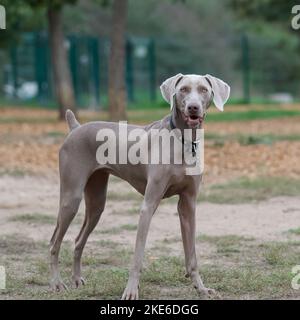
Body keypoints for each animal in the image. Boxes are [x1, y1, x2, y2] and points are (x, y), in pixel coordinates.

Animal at [49, 74, 230, 298]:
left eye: (204, 90)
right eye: (183, 89)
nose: (193, 107)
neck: (183, 140)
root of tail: (75, 128)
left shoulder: (188, 205)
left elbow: (192, 255)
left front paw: (201, 288)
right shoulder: (148, 205)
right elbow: (138, 256)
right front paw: (131, 291)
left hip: (97, 201)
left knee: (78, 240)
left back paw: (76, 279)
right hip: (71, 198)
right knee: (54, 242)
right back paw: (56, 283)